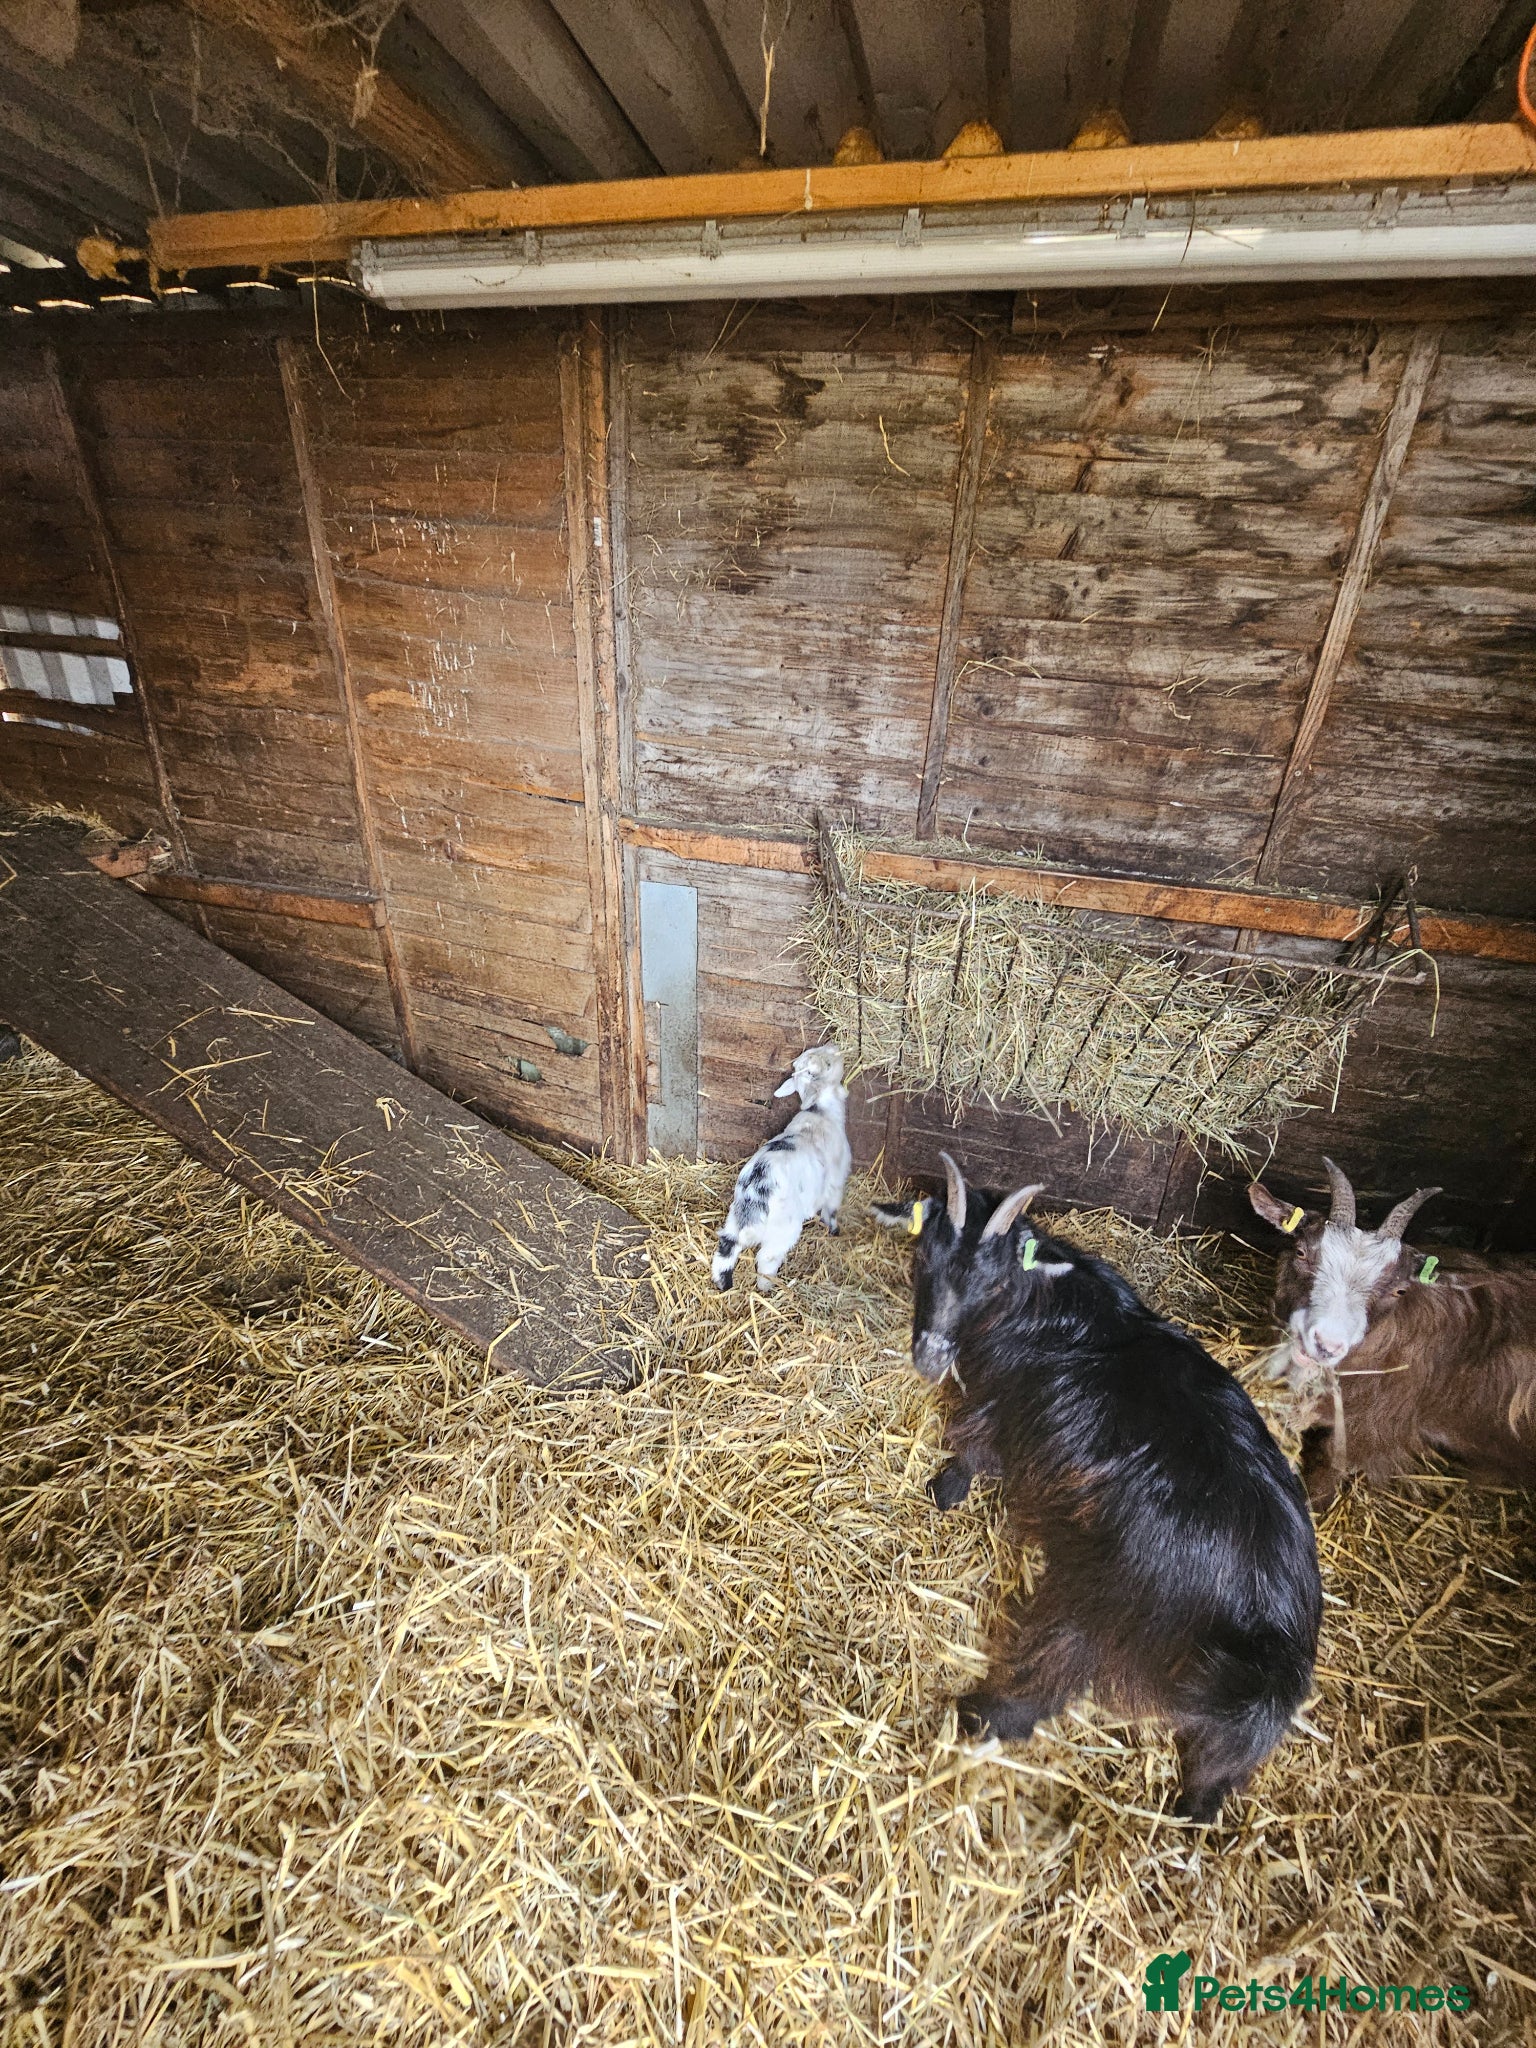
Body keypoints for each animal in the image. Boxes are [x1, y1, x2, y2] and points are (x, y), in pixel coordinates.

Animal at [712, 1045, 851, 1293]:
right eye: (827, 1064)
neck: (820, 1111)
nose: (836, 1047)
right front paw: (834, 1231)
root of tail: (754, 1193)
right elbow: (832, 1211)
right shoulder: (835, 1182)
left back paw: (723, 1283)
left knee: (725, 1249)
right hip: (783, 1229)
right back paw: (768, 1287)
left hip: (733, 1219)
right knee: (766, 1259)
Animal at [873, 1155, 1321, 1825]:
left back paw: (980, 1712)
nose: (928, 1358)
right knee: (1218, 1772)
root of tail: (1269, 1622)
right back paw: (1192, 1808)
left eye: (995, 1284)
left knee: (1056, 1668)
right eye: (925, 1255)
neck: (1045, 1307)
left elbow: (975, 1448)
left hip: (1108, 1596)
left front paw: (945, 1486)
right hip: (1235, 1720)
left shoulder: (1001, 1406)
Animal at [1249, 1160, 1536, 1510]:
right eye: (1302, 1253)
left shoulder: (1375, 1428)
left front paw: (1315, 1503)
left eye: (1399, 1291)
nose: (1325, 1345)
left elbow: (1334, 1462)